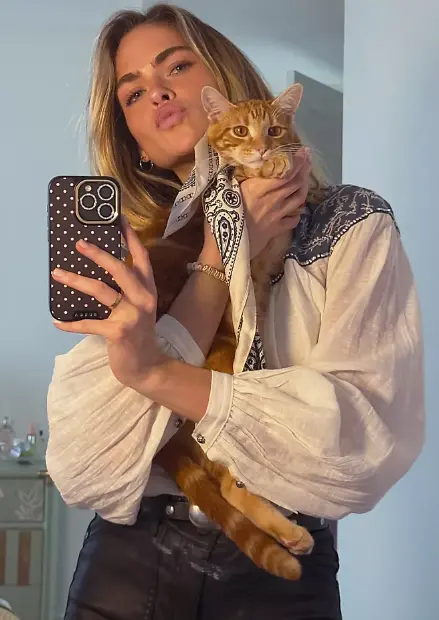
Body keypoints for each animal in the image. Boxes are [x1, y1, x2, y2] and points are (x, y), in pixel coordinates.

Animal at [130, 83, 314, 580]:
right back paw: (288, 534)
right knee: (228, 481)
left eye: (274, 129)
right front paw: (272, 166)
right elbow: (247, 176)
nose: (263, 147)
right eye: (240, 131)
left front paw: (286, 160)